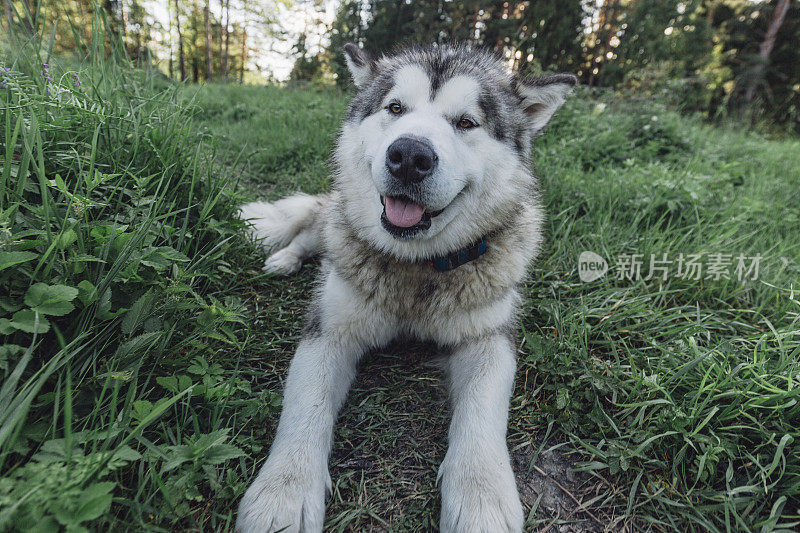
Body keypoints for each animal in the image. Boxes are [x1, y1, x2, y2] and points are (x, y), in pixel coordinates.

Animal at [236, 42, 576, 532]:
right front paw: (284, 492)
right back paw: (284, 258)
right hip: (331, 225)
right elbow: (305, 404)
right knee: (312, 229)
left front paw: (481, 496)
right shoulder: (330, 330)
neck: (417, 268)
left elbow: (483, 410)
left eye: (466, 122)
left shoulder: (489, 337)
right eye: (395, 108)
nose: (410, 156)